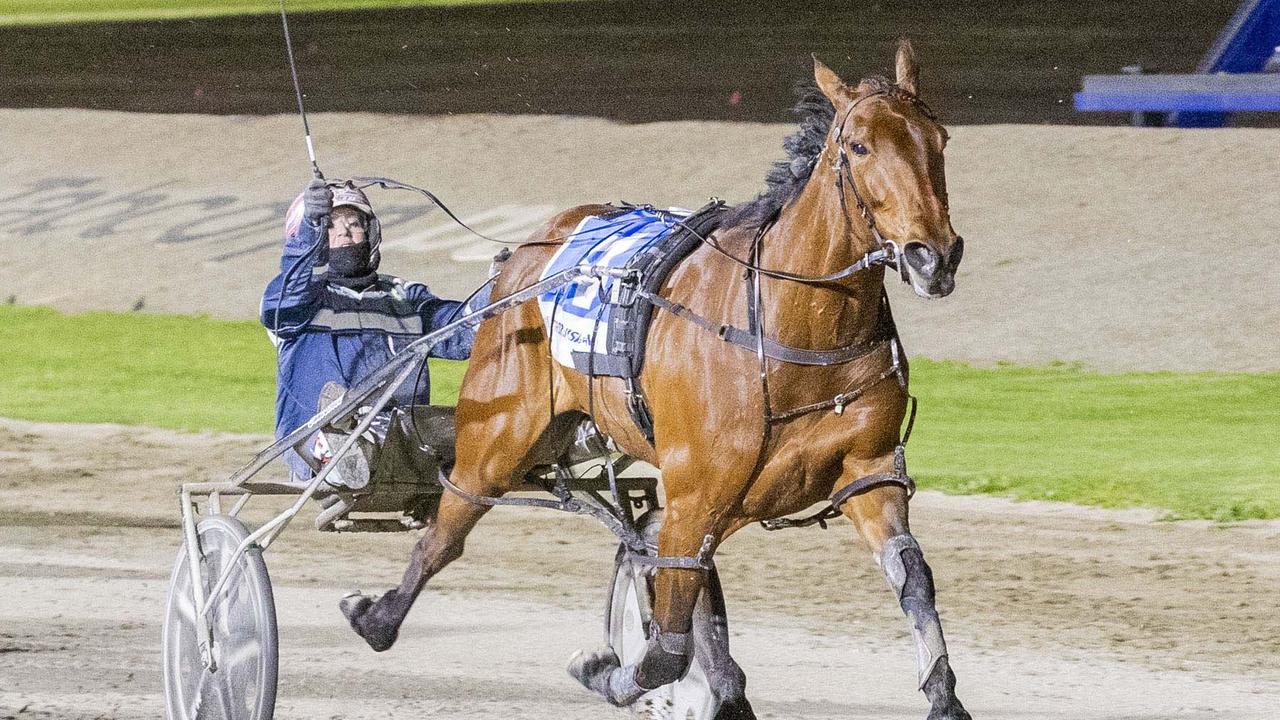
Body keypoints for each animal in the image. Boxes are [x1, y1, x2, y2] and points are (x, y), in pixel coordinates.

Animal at [340, 40, 967, 717]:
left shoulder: (866, 472)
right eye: (858, 146)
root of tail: (533, 247)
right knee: (449, 527)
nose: (934, 255)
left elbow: (912, 578)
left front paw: (944, 697)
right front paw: (604, 670)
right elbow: (666, 646)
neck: (789, 329)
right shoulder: (697, 491)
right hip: (500, 430)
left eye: (940, 139)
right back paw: (375, 617)